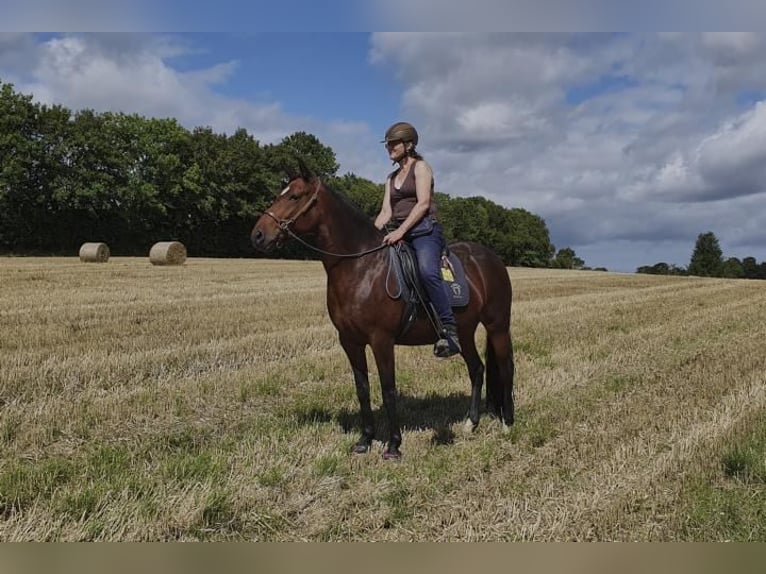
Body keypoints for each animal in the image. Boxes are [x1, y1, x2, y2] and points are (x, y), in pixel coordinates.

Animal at [252, 164, 516, 462]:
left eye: (294, 196)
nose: (258, 235)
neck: (360, 266)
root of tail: (492, 258)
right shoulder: (350, 342)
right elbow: (363, 389)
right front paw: (365, 440)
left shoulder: (382, 340)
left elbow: (388, 390)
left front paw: (393, 445)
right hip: (464, 332)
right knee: (477, 369)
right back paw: (471, 423)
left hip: (497, 325)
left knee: (505, 368)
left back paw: (507, 423)